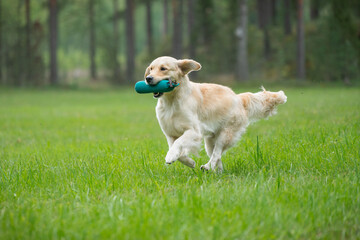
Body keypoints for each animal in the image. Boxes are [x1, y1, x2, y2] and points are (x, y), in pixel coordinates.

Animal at [143, 56, 286, 172]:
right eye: (151, 69)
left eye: (163, 68)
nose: (148, 78)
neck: (171, 101)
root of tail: (238, 98)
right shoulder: (170, 134)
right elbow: (177, 150)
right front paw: (189, 162)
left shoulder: (194, 131)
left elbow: (178, 144)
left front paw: (171, 156)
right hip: (210, 141)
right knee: (217, 157)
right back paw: (217, 172)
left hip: (225, 135)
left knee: (217, 153)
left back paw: (208, 167)